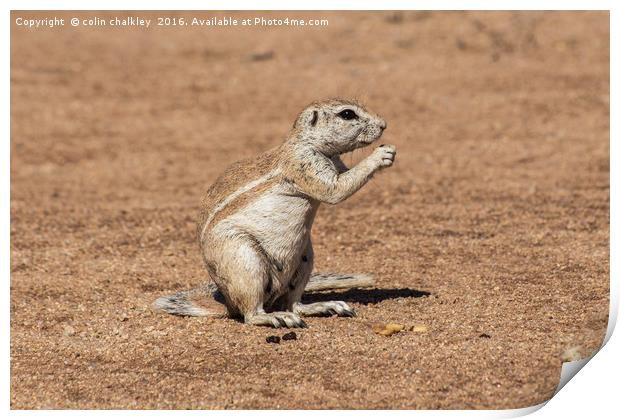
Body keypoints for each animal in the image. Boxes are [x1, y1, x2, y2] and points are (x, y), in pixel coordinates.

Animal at [155, 98, 398, 328]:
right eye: (347, 114)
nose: (384, 125)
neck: (306, 143)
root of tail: (226, 300)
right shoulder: (304, 165)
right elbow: (336, 190)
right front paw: (381, 155)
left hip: (305, 259)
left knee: (293, 303)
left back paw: (323, 306)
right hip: (245, 260)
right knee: (252, 313)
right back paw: (276, 318)